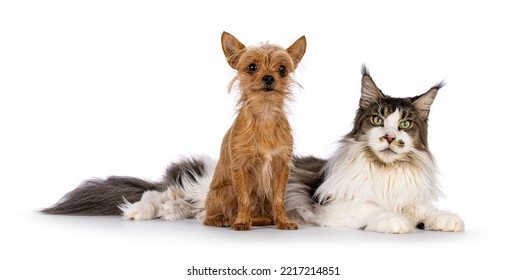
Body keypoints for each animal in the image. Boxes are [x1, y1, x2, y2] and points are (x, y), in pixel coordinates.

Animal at [204, 31, 308, 231]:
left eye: (282, 69)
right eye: (252, 67)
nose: (268, 77)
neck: (264, 115)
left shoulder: (281, 166)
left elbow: (279, 199)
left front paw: (283, 221)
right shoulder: (240, 167)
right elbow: (244, 199)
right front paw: (241, 222)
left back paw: (263, 219)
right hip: (225, 191)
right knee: (210, 215)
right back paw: (222, 219)